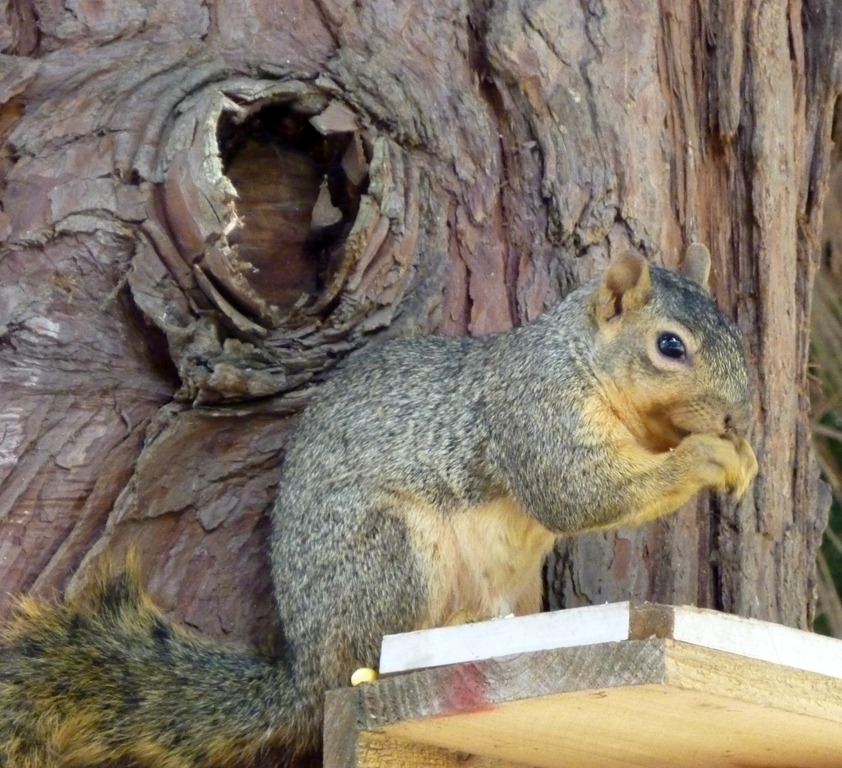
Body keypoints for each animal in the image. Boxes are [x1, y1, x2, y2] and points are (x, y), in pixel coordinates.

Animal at [0, 246, 758, 767]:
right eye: (669, 345)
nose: (740, 415)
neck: (580, 361)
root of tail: (306, 671)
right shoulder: (534, 413)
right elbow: (575, 492)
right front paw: (705, 457)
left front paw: (740, 455)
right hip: (385, 557)